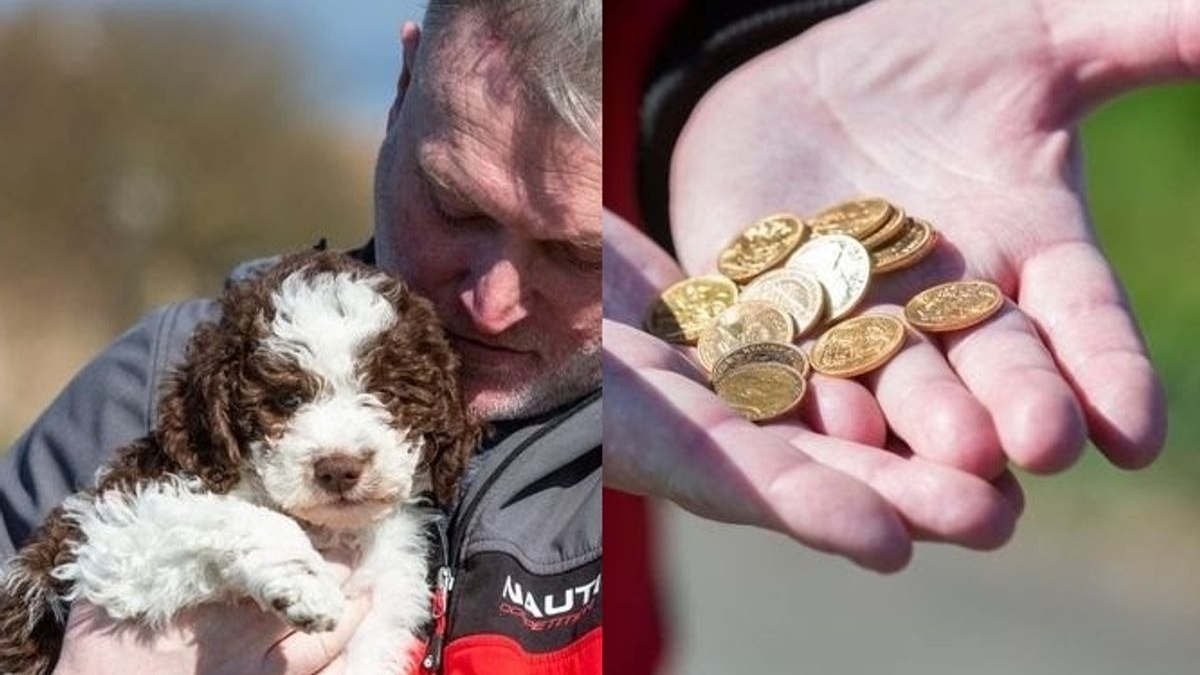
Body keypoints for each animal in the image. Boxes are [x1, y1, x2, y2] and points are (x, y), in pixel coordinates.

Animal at [0, 251, 477, 672]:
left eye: (388, 395)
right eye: (286, 400)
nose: (339, 469)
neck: (331, 529)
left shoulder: (375, 627)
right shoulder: (109, 536)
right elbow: (232, 515)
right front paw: (304, 580)